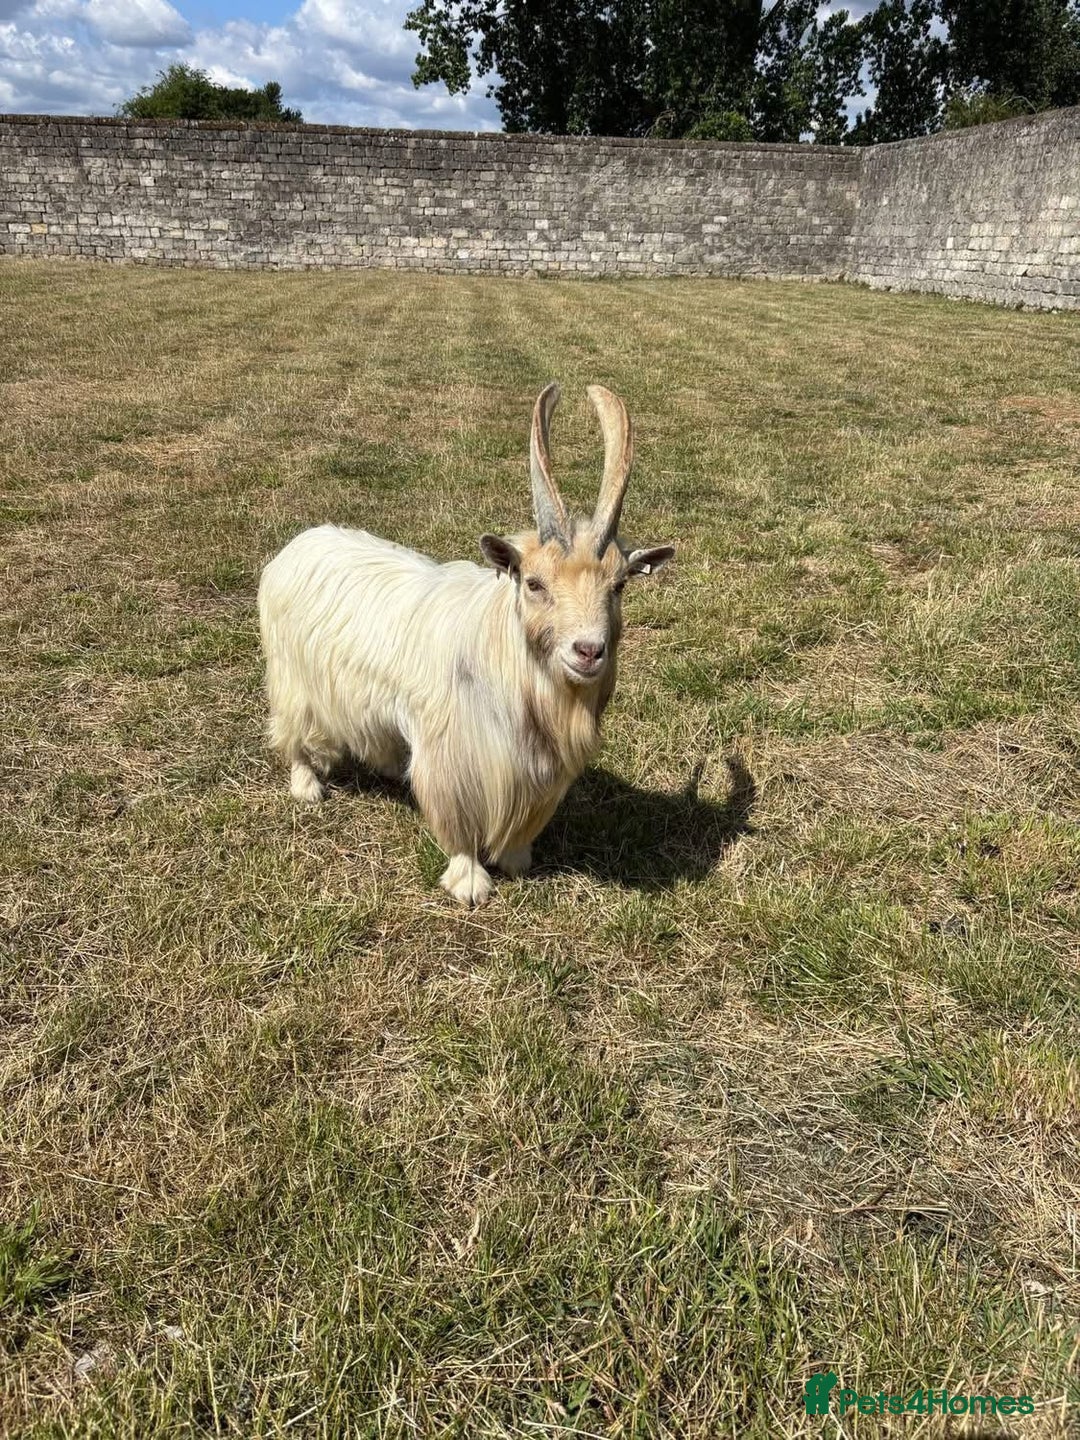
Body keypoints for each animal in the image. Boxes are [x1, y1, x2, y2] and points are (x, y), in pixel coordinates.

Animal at [258, 383, 674, 905]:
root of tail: (297, 544)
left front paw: (517, 860)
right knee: (290, 731)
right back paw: (307, 785)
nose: (588, 651)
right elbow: (457, 821)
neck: (505, 655)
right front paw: (469, 882)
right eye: (534, 583)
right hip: (291, 675)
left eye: (618, 585)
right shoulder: (453, 755)